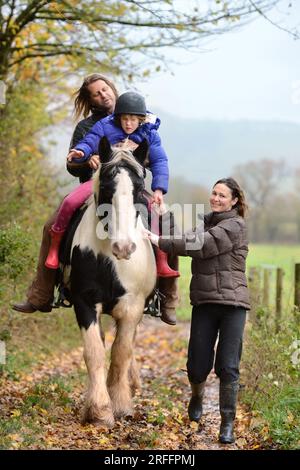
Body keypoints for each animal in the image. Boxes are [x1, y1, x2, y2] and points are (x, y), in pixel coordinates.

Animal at [66, 135, 156, 426]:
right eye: (106, 188)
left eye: (139, 189)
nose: (124, 247)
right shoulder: (84, 302)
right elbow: (94, 352)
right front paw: (99, 410)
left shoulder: (132, 307)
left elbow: (121, 353)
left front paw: (121, 404)